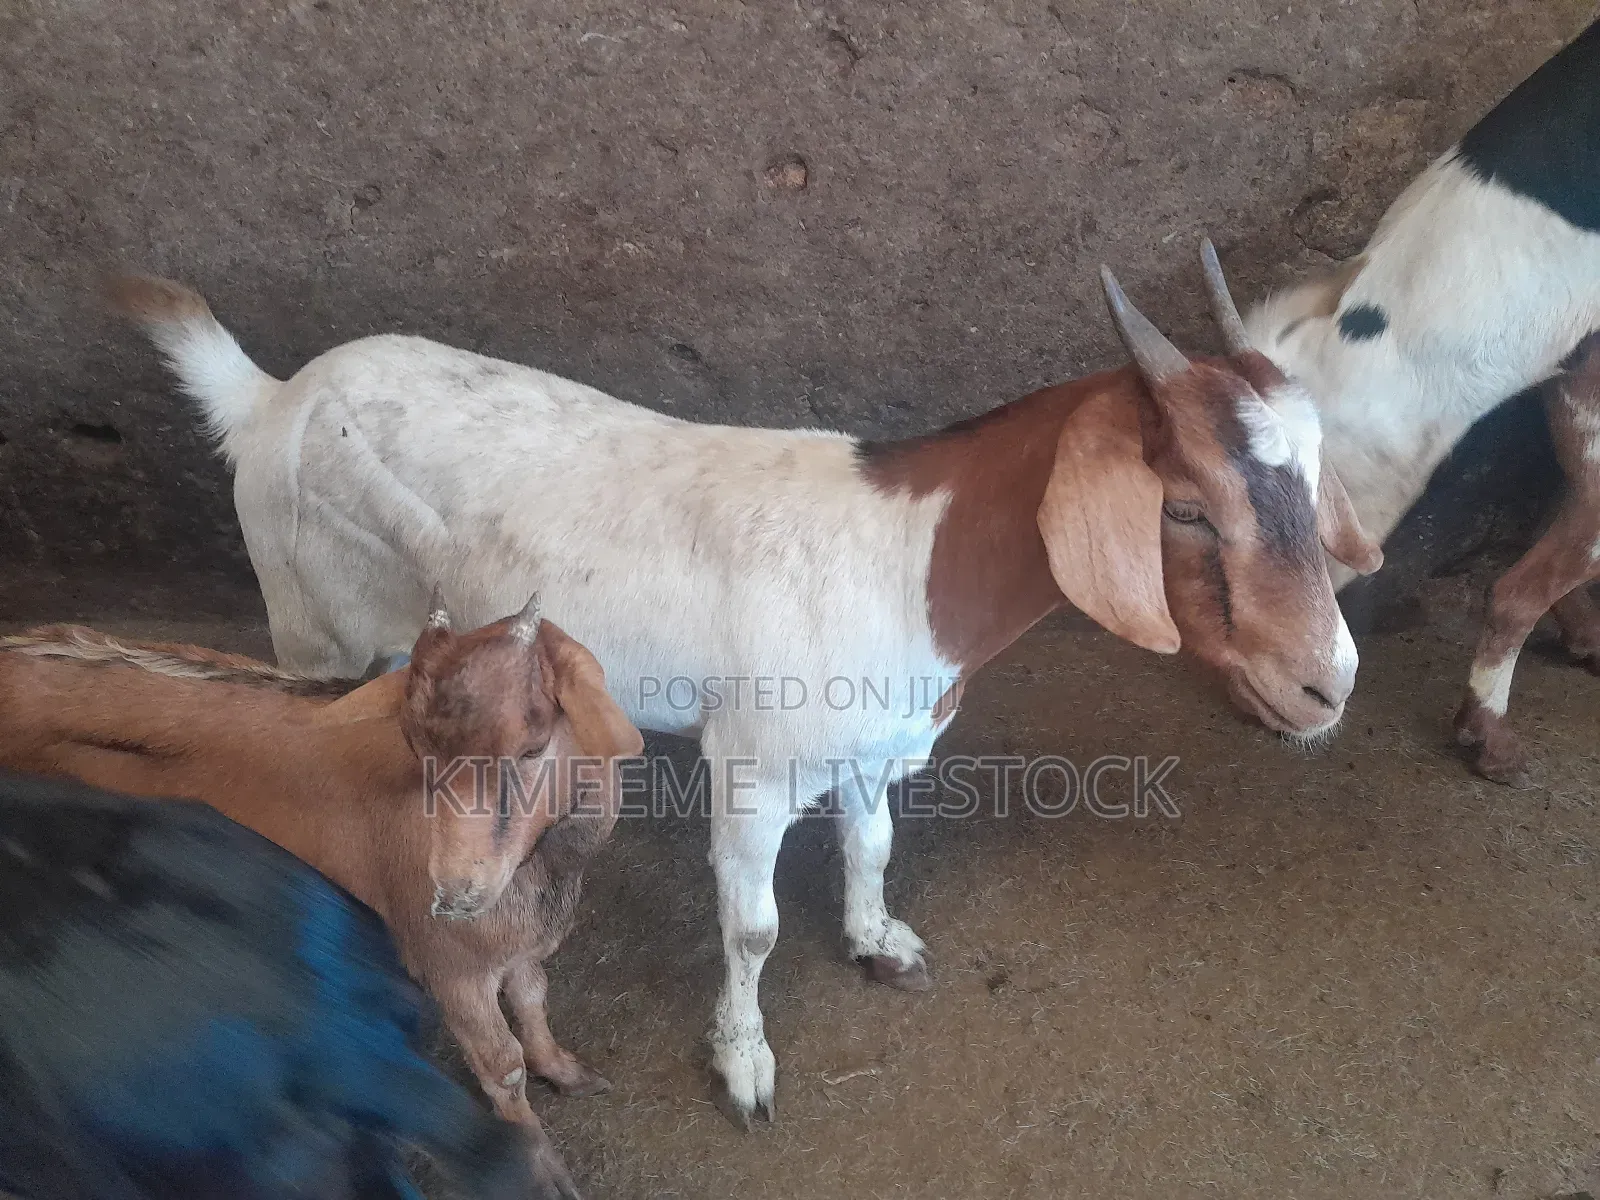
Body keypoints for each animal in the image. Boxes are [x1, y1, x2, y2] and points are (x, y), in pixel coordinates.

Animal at [107, 245, 1381, 1128]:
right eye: (1187, 508)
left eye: (1316, 474)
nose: (1327, 685)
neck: (910, 558)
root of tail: (270, 397)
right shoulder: (755, 762)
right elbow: (754, 926)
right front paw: (745, 1062)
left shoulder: (872, 744)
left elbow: (872, 848)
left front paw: (875, 941)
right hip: (312, 616)